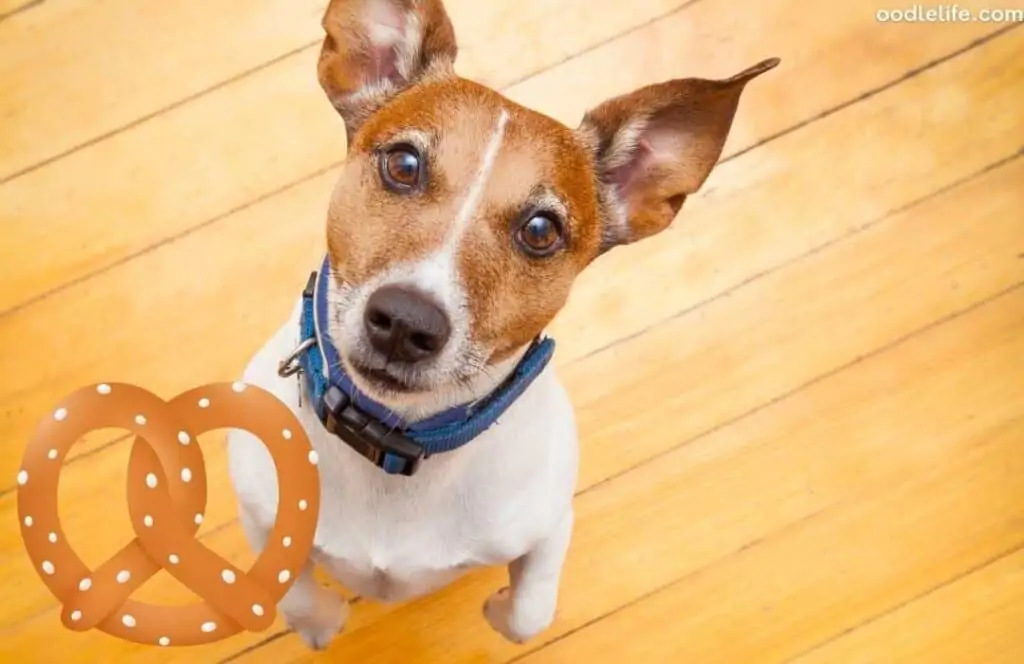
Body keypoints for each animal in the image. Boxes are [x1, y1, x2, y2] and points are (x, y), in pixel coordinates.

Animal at [230, 0, 774, 651]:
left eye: (540, 231)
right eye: (404, 164)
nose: (405, 322)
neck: (395, 445)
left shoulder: (551, 522)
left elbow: (527, 613)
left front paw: (497, 605)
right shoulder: (258, 509)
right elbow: (288, 592)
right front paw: (323, 621)